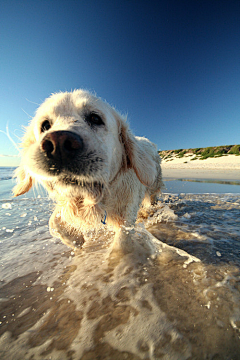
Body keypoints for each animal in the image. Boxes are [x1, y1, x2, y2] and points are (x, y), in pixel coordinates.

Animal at [13, 90, 163, 253]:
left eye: (95, 118)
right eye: (45, 125)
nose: (58, 144)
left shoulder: (126, 214)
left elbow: (122, 242)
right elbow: (53, 221)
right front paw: (76, 240)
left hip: (153, 185)